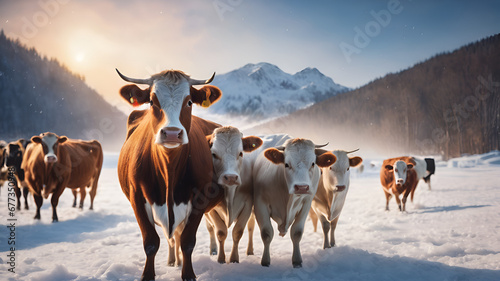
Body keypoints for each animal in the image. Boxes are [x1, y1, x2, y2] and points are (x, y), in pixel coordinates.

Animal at [116, 68, 224, 280]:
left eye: (189, 102)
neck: (169, 168)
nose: (172, 133)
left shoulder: (200, 199)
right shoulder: (136, 197)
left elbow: (188, 241)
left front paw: (188, 274)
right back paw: (173, 261)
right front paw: (148, 275)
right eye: (152, 101)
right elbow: (151, 242)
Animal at [205, 126, 264, 262]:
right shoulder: (211, 210)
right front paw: (221, 259)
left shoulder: (247, 205)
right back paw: (213, 250)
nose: (231, 177)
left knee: (251, 227)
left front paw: (234, 259)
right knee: (210, 228)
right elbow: (220, 232)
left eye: (241, 153)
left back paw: (250, 251)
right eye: (214, 154)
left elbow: (238, 232)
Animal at [254, 138, 336, 266]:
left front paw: (297, 261)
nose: (302, 187)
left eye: (313, 163)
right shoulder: (260, 203)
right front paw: (265, 261)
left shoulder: (306, 204)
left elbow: (297, 233)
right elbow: (266, 233)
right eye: (287, 164)